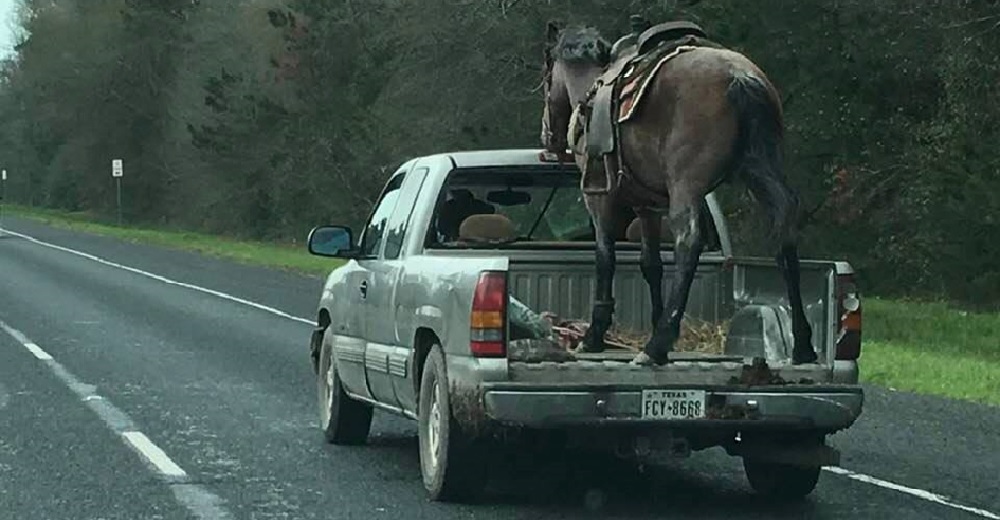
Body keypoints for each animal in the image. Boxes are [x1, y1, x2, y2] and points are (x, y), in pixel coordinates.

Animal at [540, 21, 820, 366]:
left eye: (547, 76)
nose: (548, 136)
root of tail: (740, 77)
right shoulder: (647, 206)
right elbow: (651, 265)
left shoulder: (600, 200)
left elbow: (605, 258)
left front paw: (594, 335)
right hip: (760, 171)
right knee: (784, 227)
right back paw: (803, 344)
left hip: (687, 185)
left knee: (689, 241)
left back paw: (656, 345)